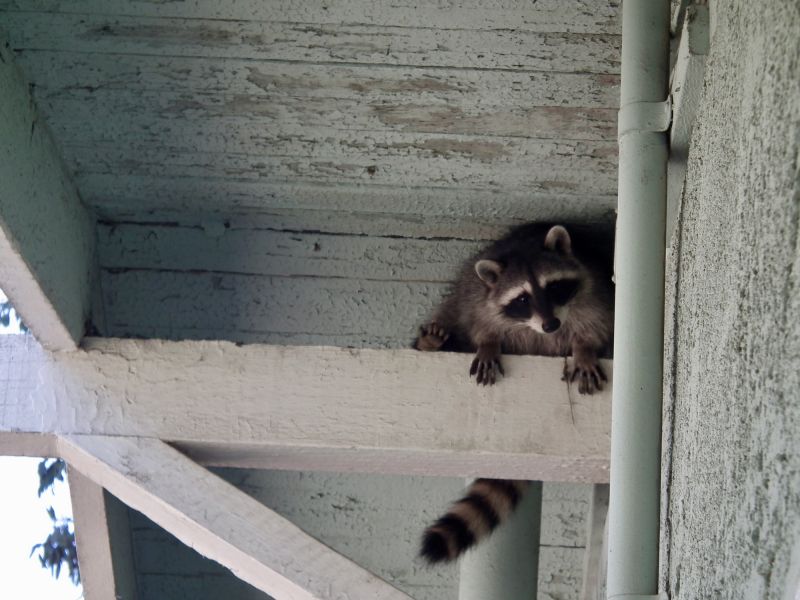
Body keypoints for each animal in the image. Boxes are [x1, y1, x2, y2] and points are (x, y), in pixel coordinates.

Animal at [415, 222, 614, 563]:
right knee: (450, 313)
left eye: (553, 287)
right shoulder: (478, 298)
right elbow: (480, 321)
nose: (551, 324)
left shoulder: (595, 287)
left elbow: (596, 323)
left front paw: (584, 349)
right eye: (522, 299)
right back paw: (431, 343)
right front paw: (488, 342)